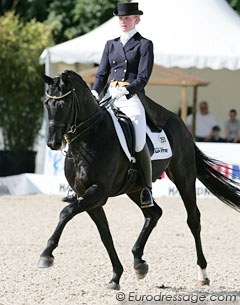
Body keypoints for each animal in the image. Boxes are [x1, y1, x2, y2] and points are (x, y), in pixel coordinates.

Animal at [39, 69, 240, 290]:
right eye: (47, 103)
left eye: (63, 104)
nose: (53, 143)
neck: (89, 138)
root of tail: (181, 124)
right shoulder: (88, 196)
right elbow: (105, 234)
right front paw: (116, 276)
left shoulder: (98, 192)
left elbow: (66, 212)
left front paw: (46, 254)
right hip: (135, 189)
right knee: (154, 213)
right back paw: (138, 261)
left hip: (184, 177)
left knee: (193, 219)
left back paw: (202, 273)